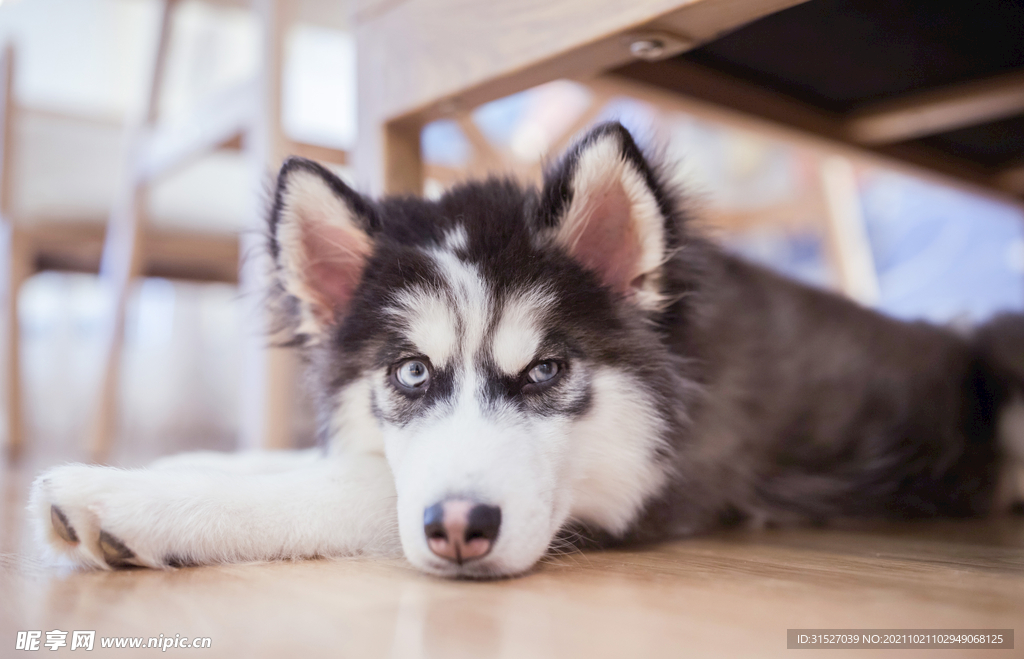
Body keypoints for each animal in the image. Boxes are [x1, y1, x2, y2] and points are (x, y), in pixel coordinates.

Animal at [28, 122, 1024, 577]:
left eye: (546, 370)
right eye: (410, 371)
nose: (459, 530)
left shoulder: (642, 492)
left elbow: (349, 488)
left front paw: (126, 496)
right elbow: (328, 459)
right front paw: (179, 460)